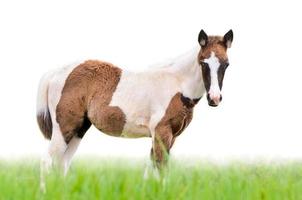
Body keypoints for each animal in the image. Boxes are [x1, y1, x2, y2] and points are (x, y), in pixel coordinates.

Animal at [36, 28, 234, 178]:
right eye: (203, 63)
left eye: (226, 64)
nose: (214, 98)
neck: (177, 84)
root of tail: (55, 73)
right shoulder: (161, 132)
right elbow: (160, 169)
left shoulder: (170, 137)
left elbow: (152, 170)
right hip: (64, 128)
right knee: (47, 162)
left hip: (79, 129)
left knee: (62, 164)